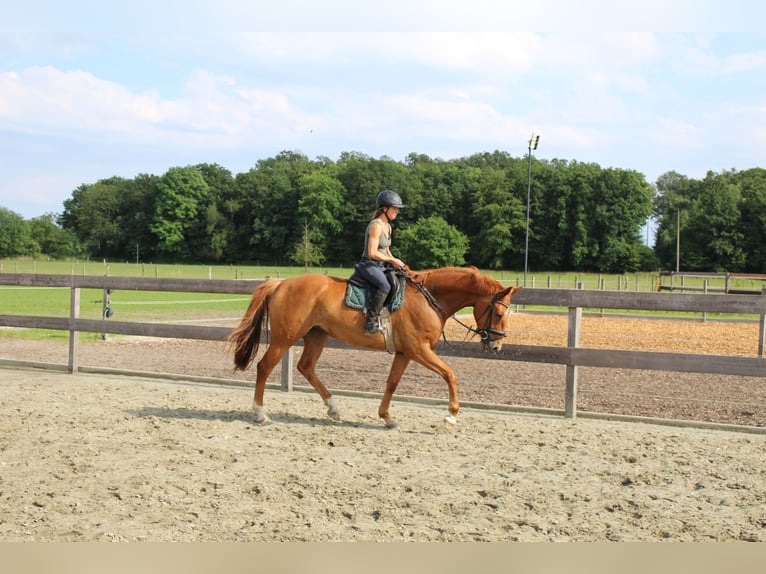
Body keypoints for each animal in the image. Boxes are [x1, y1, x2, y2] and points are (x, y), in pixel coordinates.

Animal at [226, 266, 520, 428]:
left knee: (306, 367)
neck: (429, 298)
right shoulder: (419, 350)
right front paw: (451, 417)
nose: (497, 346)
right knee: (264, 366)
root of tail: (281, 283)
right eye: (498, 313)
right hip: (284, 338)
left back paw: (333, 408)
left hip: (316, 336)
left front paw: (386, 417)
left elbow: (392, 383)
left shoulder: (404, 352)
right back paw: (260, 413)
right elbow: (450, 374)